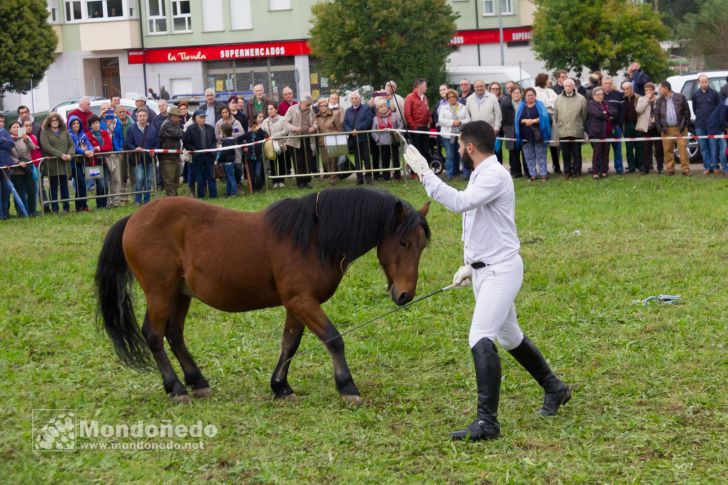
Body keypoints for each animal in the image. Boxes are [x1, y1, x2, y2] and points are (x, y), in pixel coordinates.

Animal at [94, 189, 430, 404]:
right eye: (403, 243)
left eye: (422, 245)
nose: (405, 295)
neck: (313, 238)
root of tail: (133, 218)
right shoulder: (302, 301)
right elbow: (333, 339)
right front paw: (347, 387)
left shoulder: (297, 304)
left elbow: (290, 343)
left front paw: (280, 387)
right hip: (160, 291)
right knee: (154, 334)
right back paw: (176, 388)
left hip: (180, 294)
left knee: (175, 334)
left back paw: (197, 382)